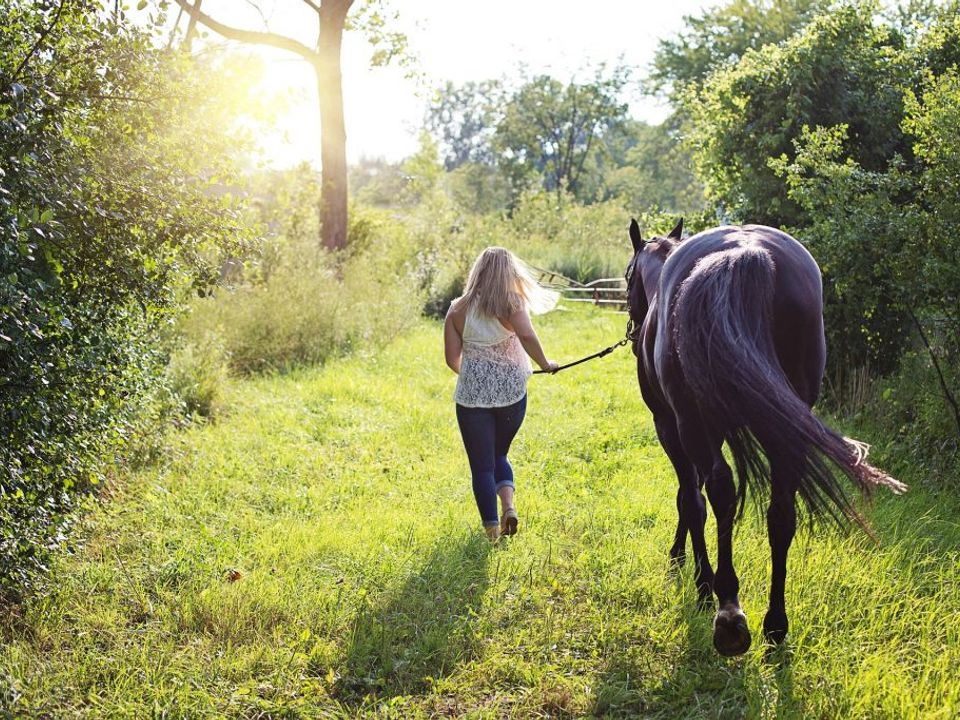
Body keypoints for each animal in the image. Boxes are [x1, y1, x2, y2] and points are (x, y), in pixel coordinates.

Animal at [628, 218, 904, 652]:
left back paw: (728, 612)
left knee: (720, 493)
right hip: (784, 429)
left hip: (694, 425)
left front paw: (696, 579)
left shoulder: (670, 426)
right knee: (781, 514)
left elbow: (689, 499)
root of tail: (745, 252)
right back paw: (775, 624)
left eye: (626, 278)